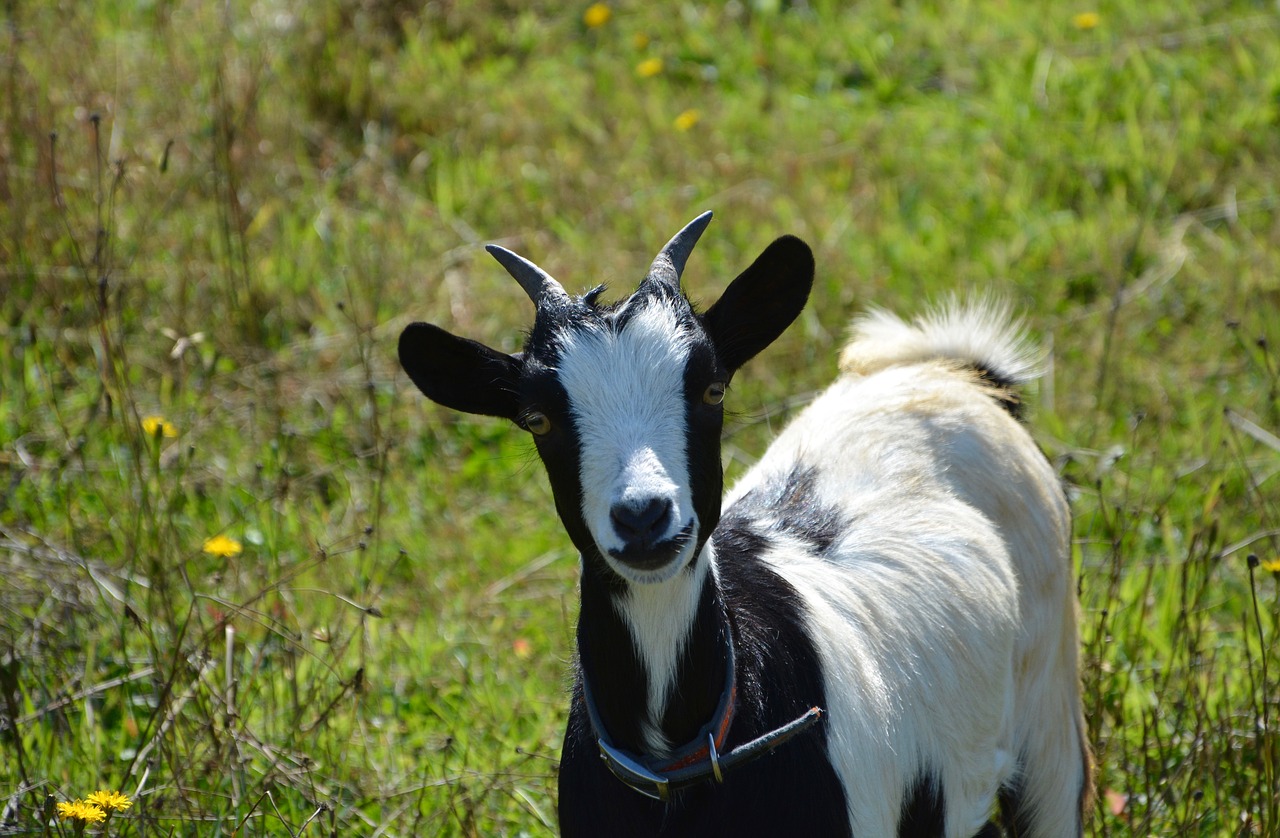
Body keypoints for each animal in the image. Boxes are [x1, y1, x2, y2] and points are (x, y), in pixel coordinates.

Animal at [399, 213, 1090, 834]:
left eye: (712, 389)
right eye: (538, 418)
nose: (643, 516)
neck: (677, 756)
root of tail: (957, 372)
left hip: (1051, 711)